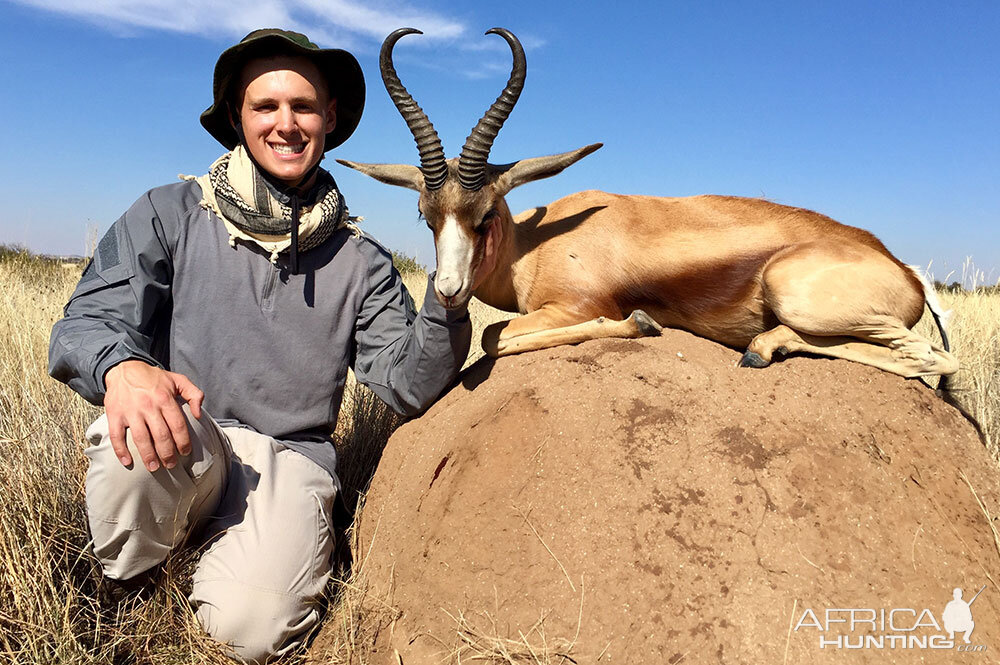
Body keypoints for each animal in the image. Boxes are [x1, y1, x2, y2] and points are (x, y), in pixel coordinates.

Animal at [342, 27, 960, 378]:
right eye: (426, 215)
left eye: (485, 214)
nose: (448, 291)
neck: (536, 247)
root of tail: (905, 270)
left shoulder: (573, 305)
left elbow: (495, 337)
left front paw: (641, 322)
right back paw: (762, 347)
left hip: (795, 292)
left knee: (932, 359)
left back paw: (758, 348)